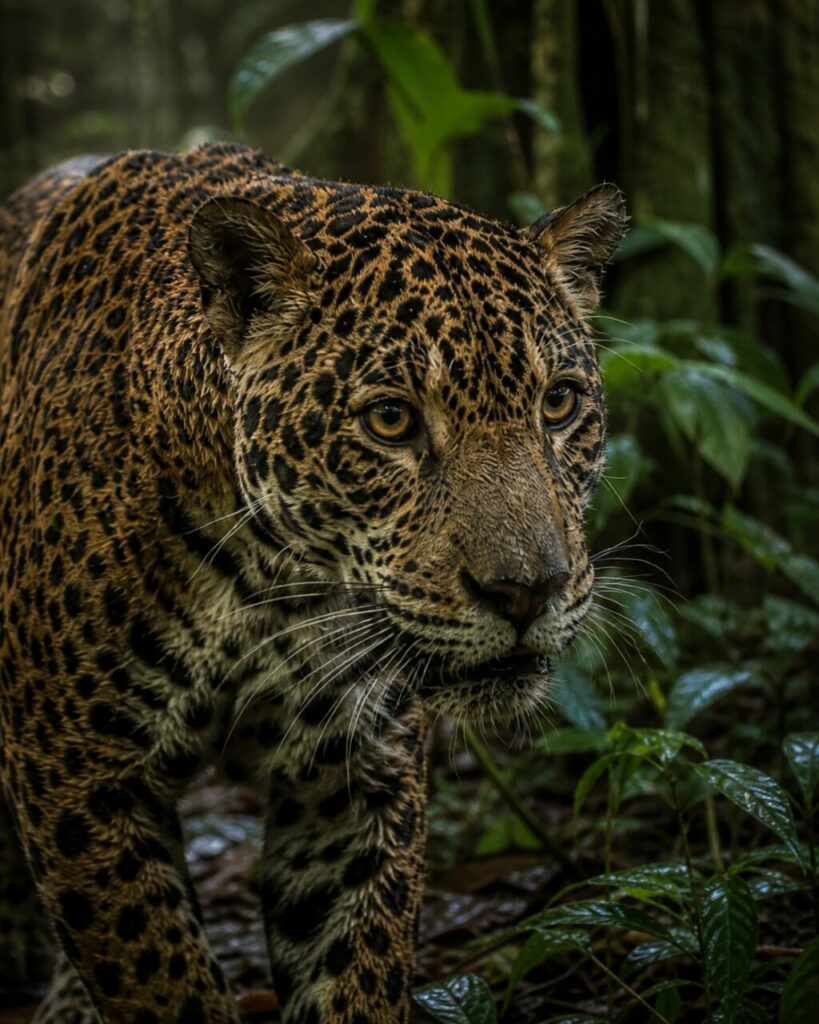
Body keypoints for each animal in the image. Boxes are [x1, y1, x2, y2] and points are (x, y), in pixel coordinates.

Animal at [0, 142, 626, 1024]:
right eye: (390, 420)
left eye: (560, 403)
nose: (528, 592)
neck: (274, 578)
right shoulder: (78, 767)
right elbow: (160, 976)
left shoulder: (353, 772)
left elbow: (353, 974)